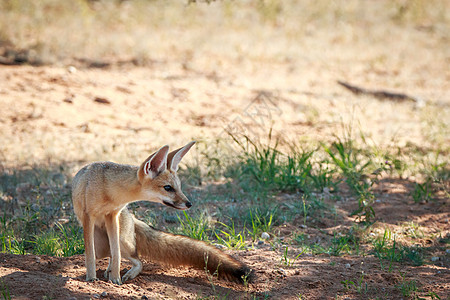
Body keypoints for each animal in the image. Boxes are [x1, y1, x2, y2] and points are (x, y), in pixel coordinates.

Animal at [72, 142, 251, 284]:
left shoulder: (112, 216)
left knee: (137, 261)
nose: (189, 204)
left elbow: (116, 255)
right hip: (102, 243)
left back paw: (123, 274)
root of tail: (133, 217)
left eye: (178, 187)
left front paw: (115, 280)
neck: (110, 192)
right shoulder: (88, 217)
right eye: (168, 188)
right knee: (111, 255)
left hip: (122, 240)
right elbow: (90, 254)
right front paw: (91, 278)